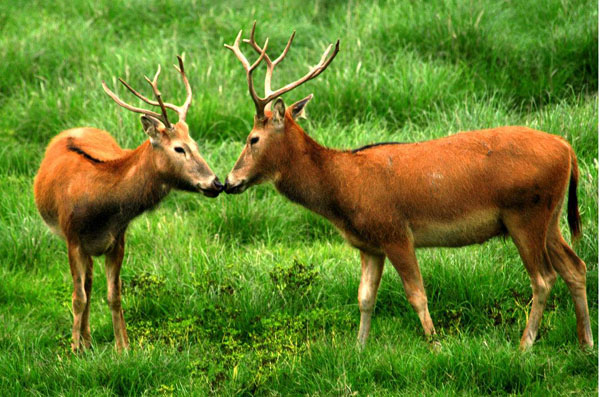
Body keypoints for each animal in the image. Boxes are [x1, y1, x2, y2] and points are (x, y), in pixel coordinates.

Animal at [33, 55, 225, 350]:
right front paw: (73, 350)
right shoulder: (72, 236)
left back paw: (89, 339)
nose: (216, 183)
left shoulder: (118, 238)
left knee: (90, 283)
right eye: (179, 148)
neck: (100, 205)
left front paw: (123, 347)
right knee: (85, 287)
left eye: (195, 144)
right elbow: (78, 297)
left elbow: (114, 295)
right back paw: (83, 342)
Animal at [223, 23, 592, 350]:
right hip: (549, 216)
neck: (343, 188)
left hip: (525, 213)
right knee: (575, 267)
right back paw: (585, 343)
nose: (229, 182)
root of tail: (567, 148)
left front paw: (436, 346)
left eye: (253, 138)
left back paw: (525, 346)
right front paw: (359, 350)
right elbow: (365, 298)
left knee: (543, 278)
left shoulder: (396, 232)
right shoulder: (369, 244)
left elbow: (417, 295)